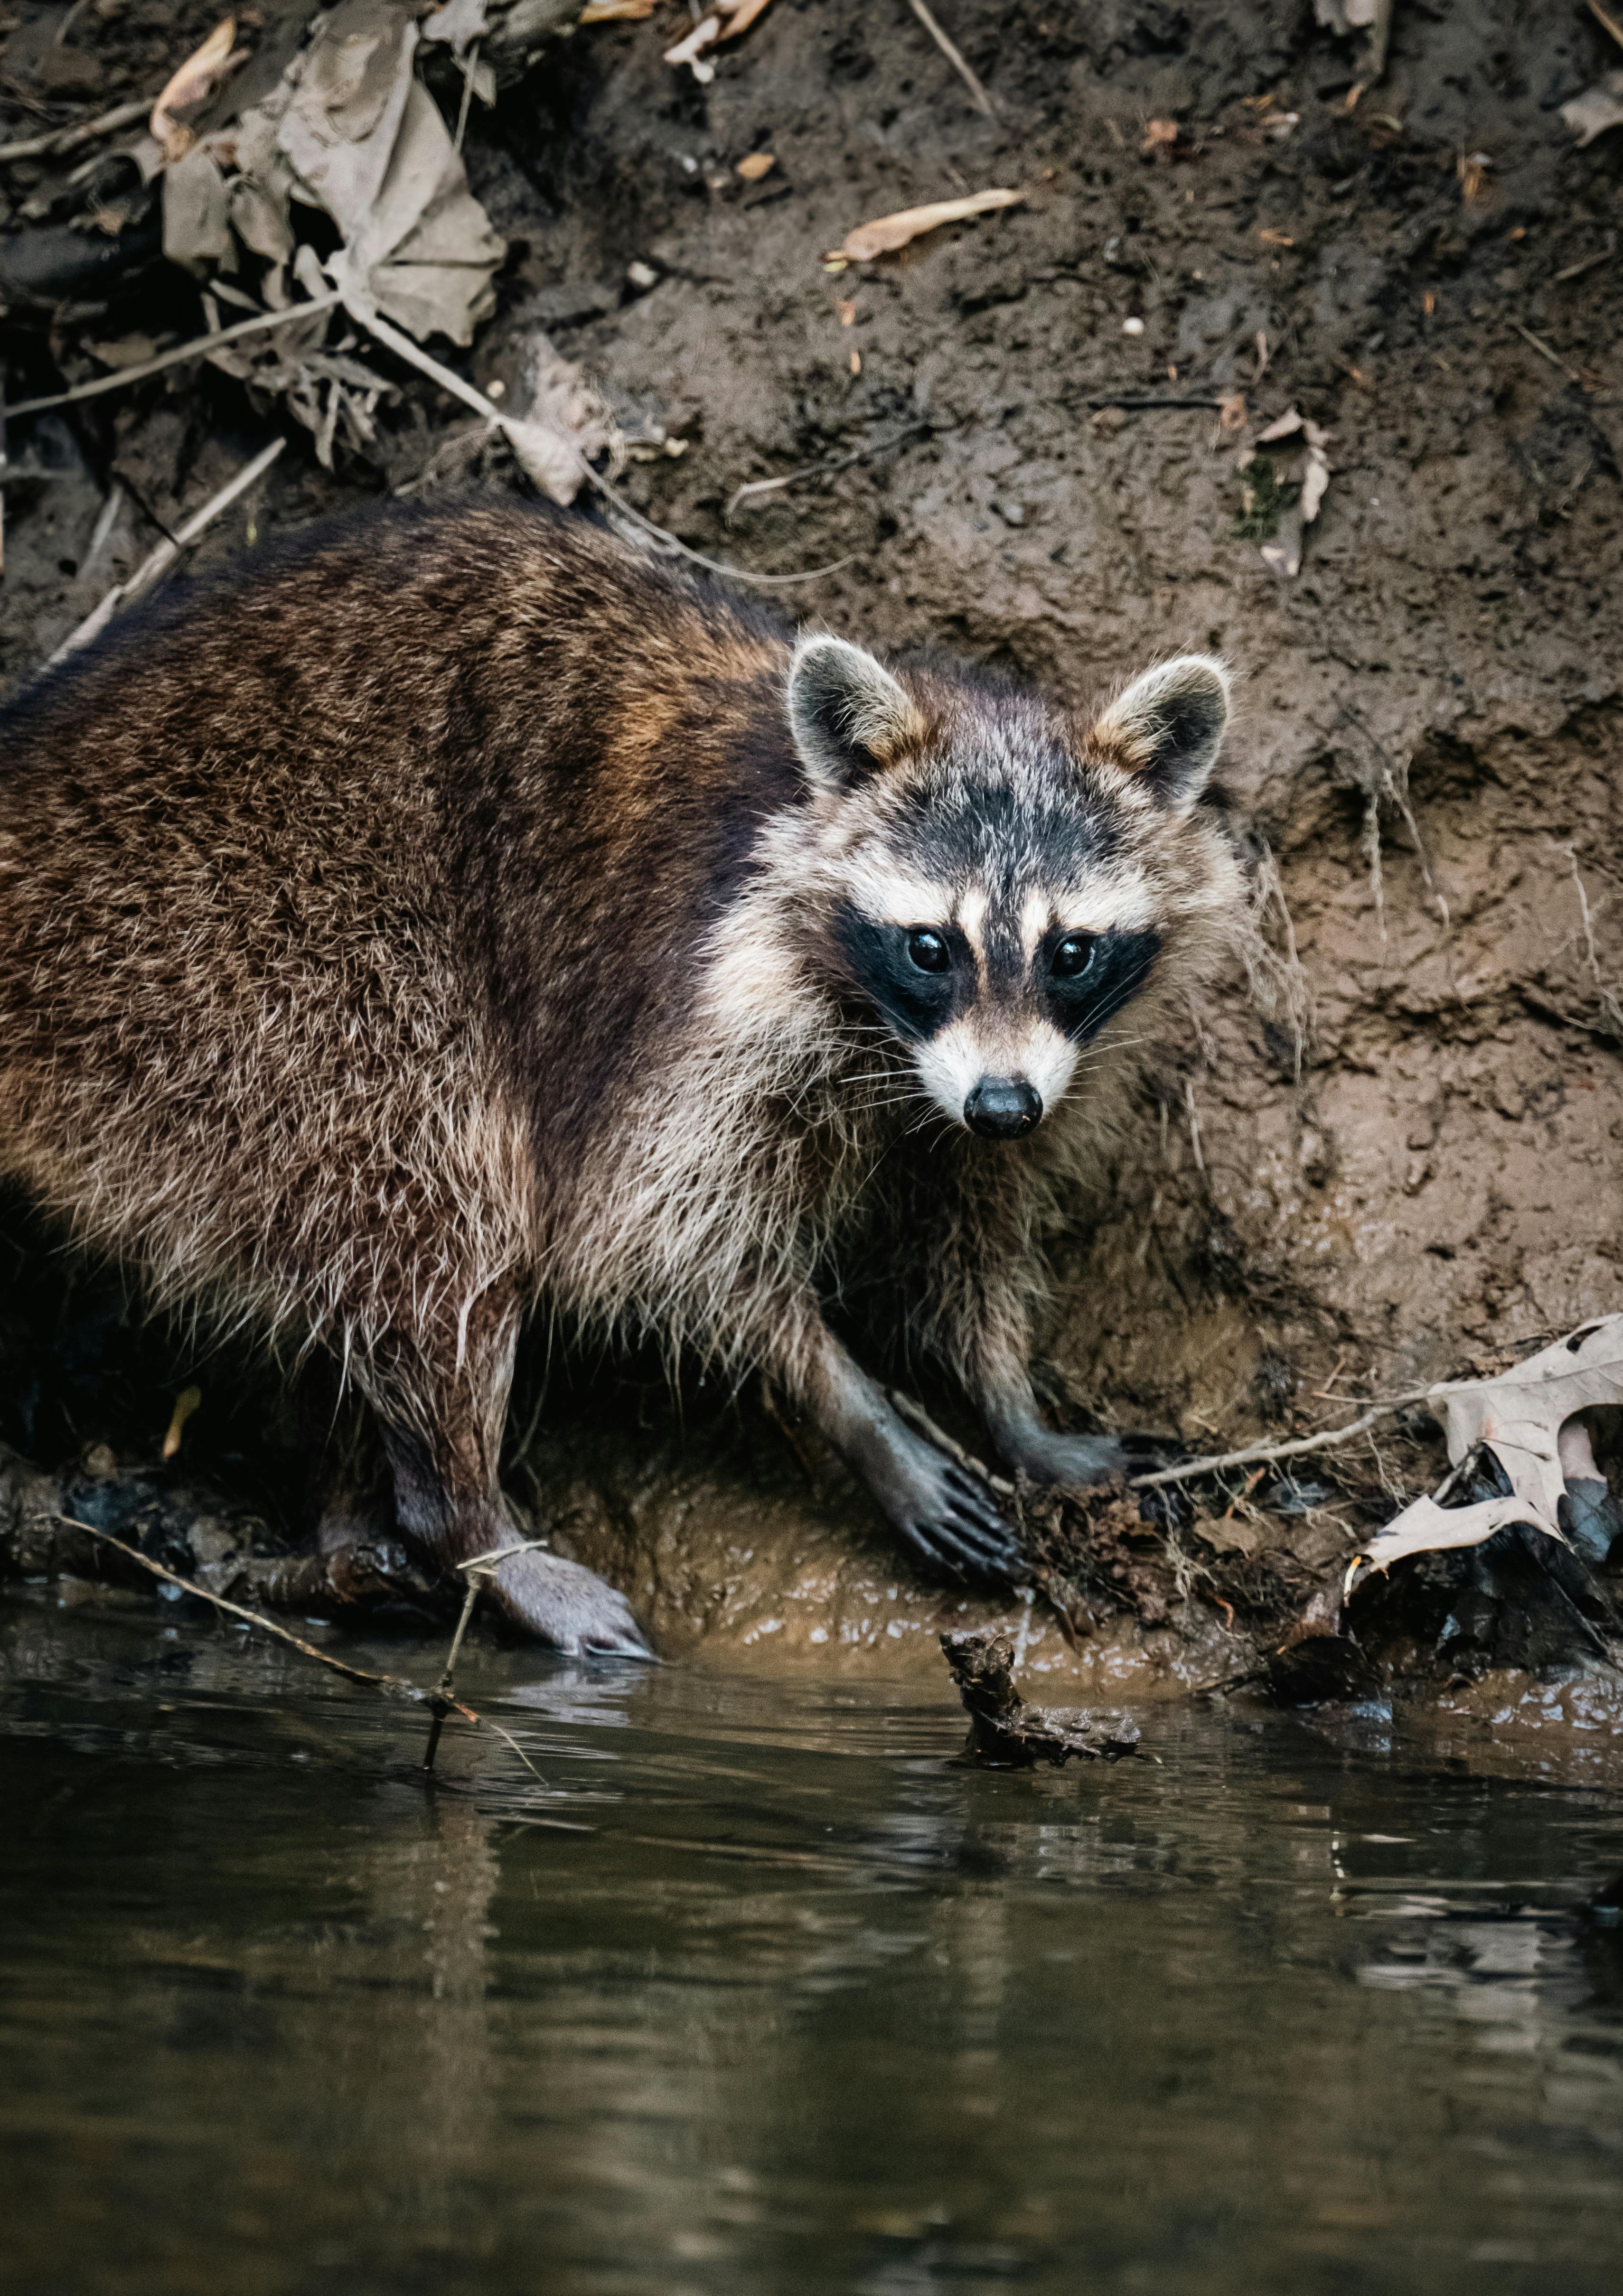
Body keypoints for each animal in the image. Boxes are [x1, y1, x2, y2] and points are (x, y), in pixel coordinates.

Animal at [0, 498, 1242, 1656]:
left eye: (1068, 951)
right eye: (931, 945)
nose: (999, 1106)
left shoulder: (1022, 1070)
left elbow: (965, 1223)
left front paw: (1001, 1391)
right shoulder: (696, 1019)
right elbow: (661, 1243)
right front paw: (851, 1404)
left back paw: (351, 1520)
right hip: (235, 960)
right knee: (436, 1192)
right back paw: (463, 1517)